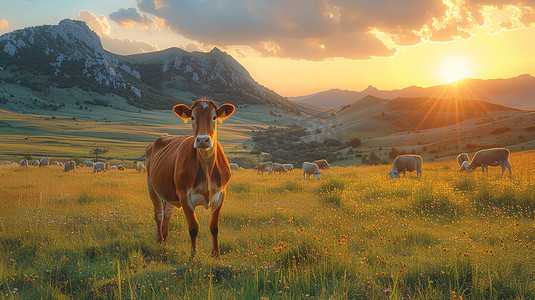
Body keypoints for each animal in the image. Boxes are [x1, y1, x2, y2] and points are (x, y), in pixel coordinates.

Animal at [144, 99, 234, 258]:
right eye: (192, 117)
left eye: (214, 117)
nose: (203, 140)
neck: (206, 166)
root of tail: (163, 136)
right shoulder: (184, 195)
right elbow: (193, 228)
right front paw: (193, 255)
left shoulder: (221, 194)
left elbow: (214, 227)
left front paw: (216, 254)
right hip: (152, 186)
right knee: (159, 214)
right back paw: (160, 239)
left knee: (167, 213)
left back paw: (165, 238)